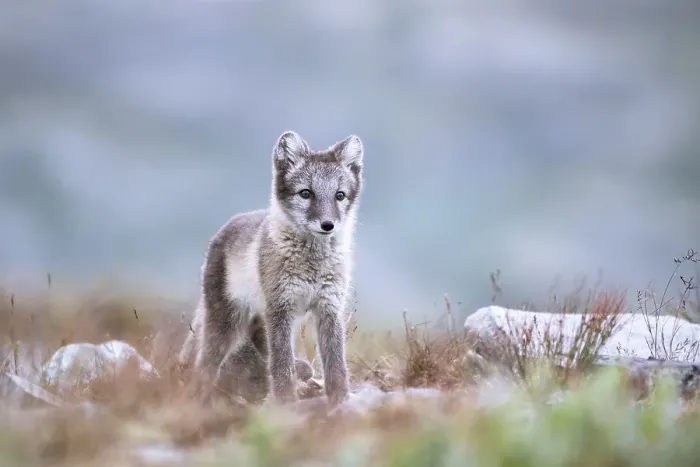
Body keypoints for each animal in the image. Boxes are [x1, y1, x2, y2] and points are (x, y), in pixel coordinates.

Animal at [179, 130, 364, 408]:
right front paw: (286, 401)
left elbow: (336, 362)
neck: (313, 264)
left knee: (258, 337)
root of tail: (227, 225)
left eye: (339, 195)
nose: (327, 225)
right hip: (227, 322)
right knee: (207, 360)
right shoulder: (280, 307)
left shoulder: (328, 307)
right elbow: (281, 361)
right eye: (306, 193)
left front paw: (340, 399)